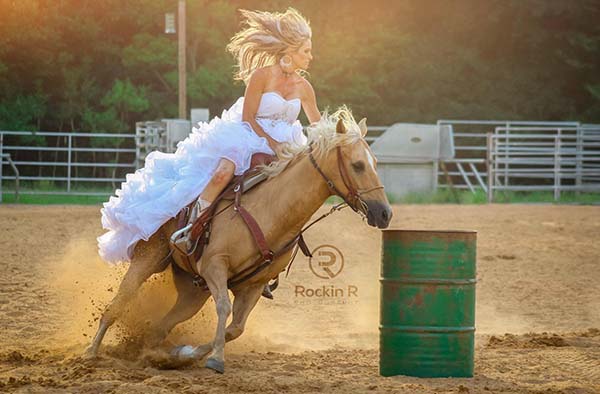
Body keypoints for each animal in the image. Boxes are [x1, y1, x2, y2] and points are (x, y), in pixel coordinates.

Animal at [85, 107, 394, 372]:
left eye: (375, 163)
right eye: (357, 165)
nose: (385, 213)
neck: (272, 210)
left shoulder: (253, 285)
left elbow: (235, 328)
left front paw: (191, 354)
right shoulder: (214, 266)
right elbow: (224, 308)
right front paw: (214, 359)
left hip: (192, 291)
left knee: (161, 326)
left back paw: (157, 355)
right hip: (148, 258)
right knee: (117, 305)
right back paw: (90, 352)